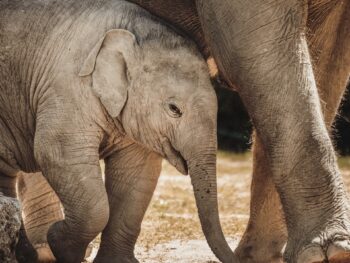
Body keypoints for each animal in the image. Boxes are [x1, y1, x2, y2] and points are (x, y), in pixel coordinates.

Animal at [0, 0, 235, 263]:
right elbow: (56, 153)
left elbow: (136, 173)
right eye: (174, 109)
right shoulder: (66, 88)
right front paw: (59, 242)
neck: (132, 34)